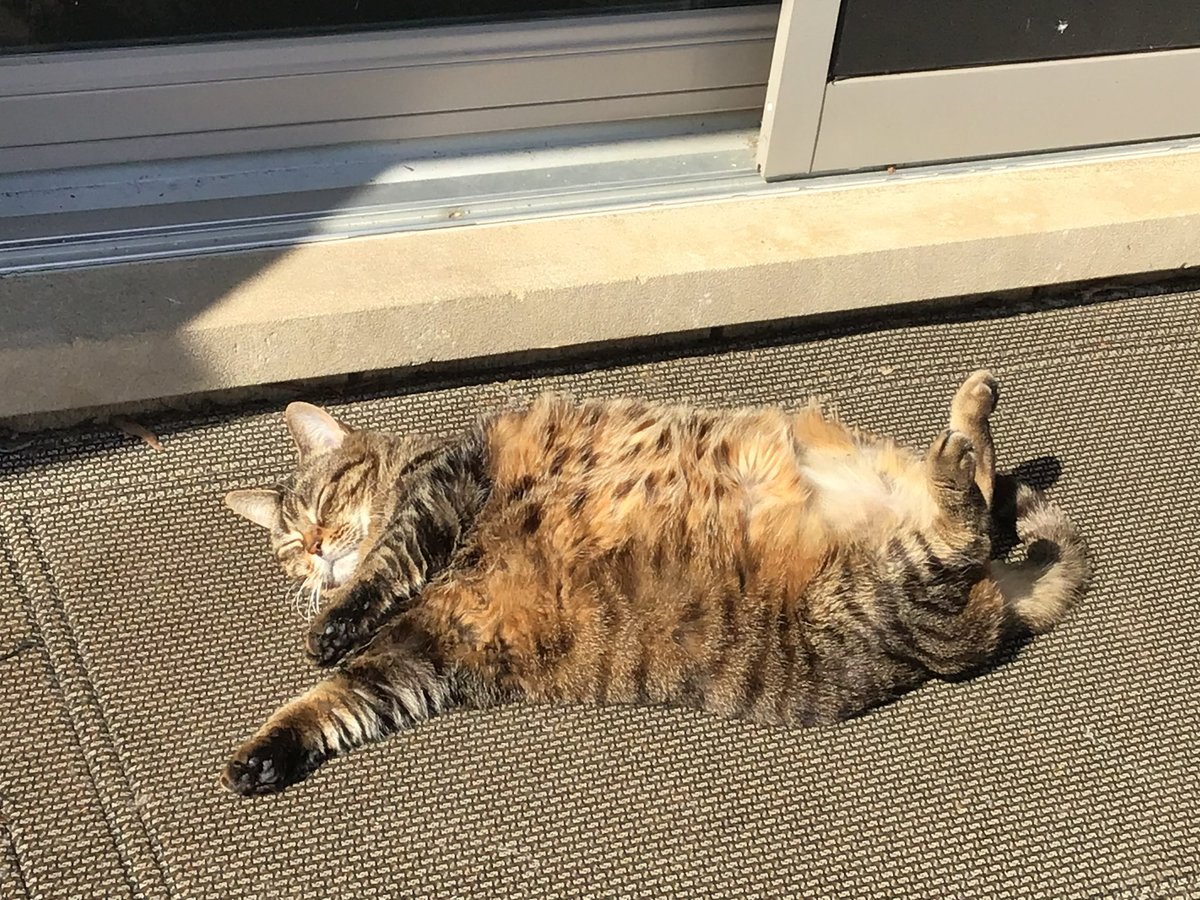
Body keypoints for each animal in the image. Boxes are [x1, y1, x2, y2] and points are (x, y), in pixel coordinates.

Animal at [218, 374, 1089, 796]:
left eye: (322, 506)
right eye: (289, 548)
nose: (317, 552)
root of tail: (992, 617)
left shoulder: (445, 492)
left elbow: (382, 573)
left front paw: (333, 620)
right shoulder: (422, 657)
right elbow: (334, 706)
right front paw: (262, 757)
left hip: (899, 575)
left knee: (972, 508)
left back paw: (968, 411)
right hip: (902, 579)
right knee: (976, 501)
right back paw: (963, 436)